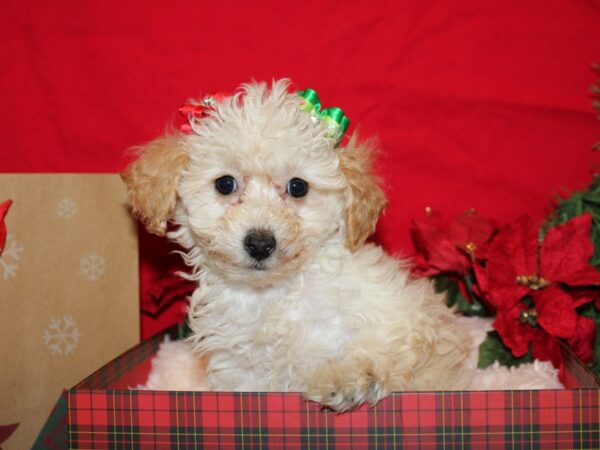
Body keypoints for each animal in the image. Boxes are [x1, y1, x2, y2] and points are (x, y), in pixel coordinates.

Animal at [123, 79, 474, 410]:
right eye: (225, 184)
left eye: (298, 187)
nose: (260, 243)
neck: (273, 295)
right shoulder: (241, 371)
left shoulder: (400, 316)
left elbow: (383, 350)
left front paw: (345, 379)